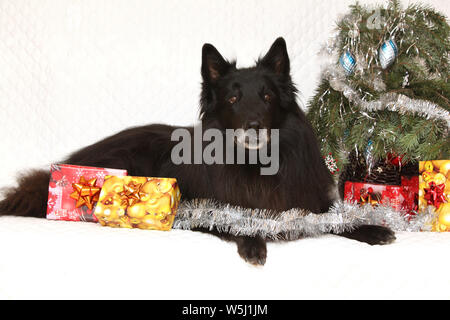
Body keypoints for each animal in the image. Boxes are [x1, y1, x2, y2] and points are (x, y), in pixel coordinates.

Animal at [0, 38, 394, 264]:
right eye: (233, 99)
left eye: (267, 96)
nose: (253, 126)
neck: (254, 164)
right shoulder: (202, 207)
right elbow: (235, 220)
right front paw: (253, 242)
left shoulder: (305, 201)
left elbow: (335, 218)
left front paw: (370, 228)